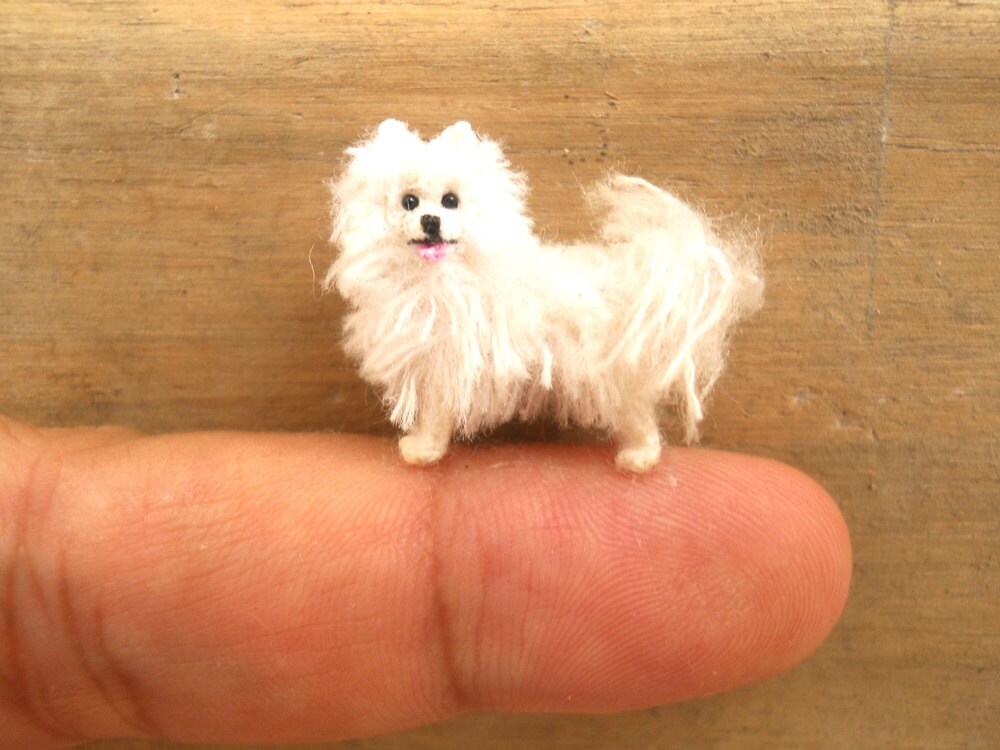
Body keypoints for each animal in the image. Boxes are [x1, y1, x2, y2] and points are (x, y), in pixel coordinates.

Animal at [324, 120, 760, 472]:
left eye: (451, 200)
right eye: (409, 202)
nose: (430, 221)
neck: (440, 279)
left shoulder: (450, 365)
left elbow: (435, 415)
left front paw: (421, 450)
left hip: (611, 380)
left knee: (639, 420)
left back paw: (637, 459)